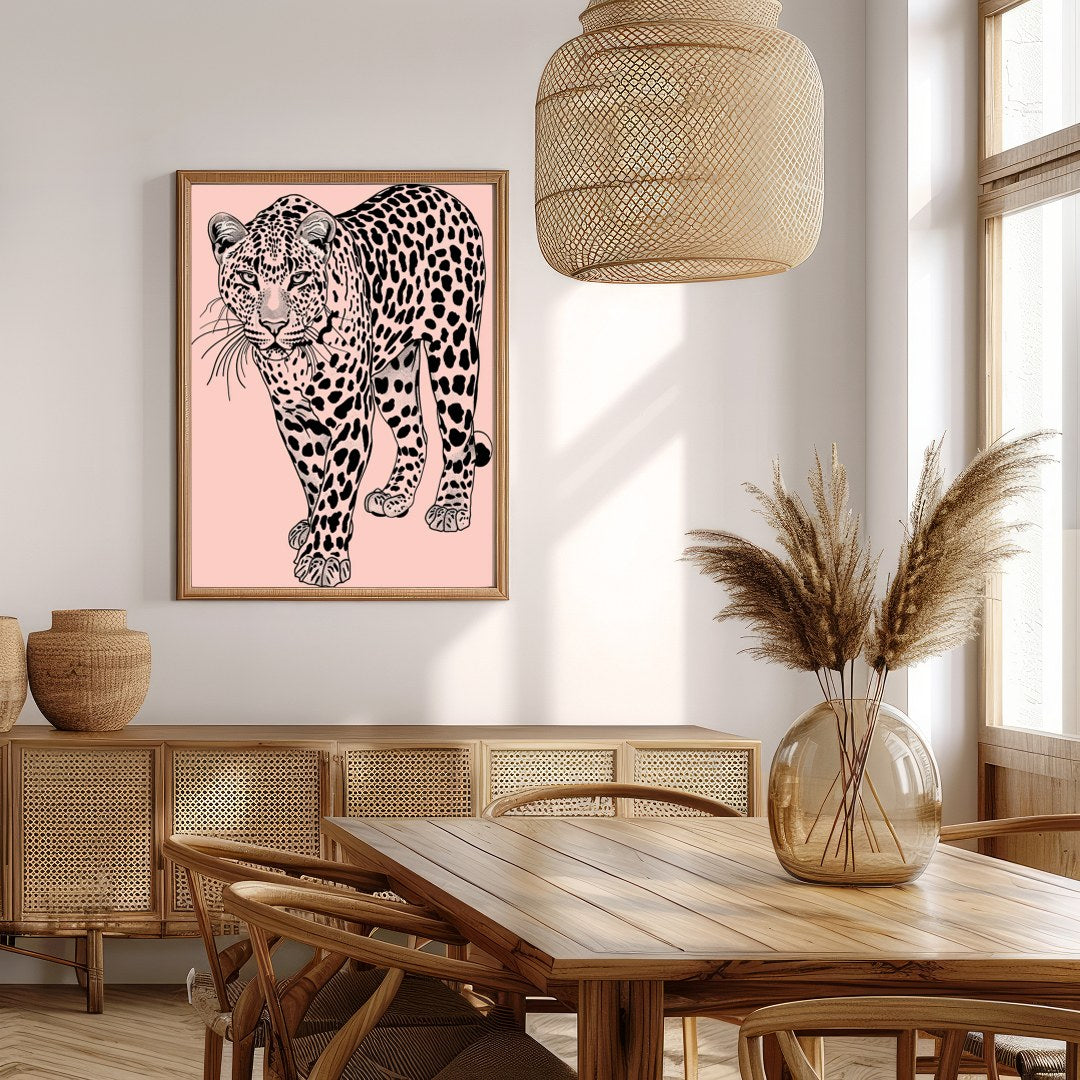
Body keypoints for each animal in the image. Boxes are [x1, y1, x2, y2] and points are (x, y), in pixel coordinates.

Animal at [203, 185, 490, 588]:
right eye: (247, 277)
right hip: (393, 374)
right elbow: (314, 476)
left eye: (298, 279)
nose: (274, 325)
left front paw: (323, 558)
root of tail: (445, 194)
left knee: (458, 436)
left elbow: (336, 484)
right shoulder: (292, 417)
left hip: (454, 349)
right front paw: (318, 531)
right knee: (415, 435)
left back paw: (451, 505)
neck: (296, 360)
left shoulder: (351, 415)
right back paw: (395, 496)